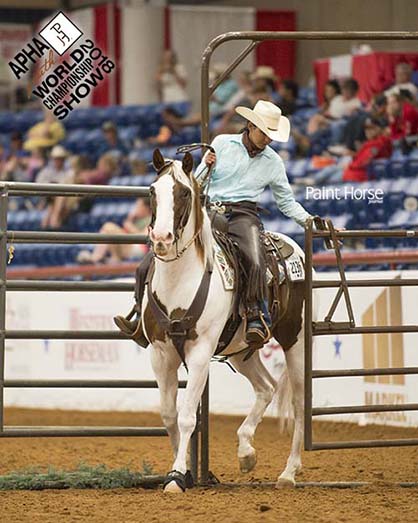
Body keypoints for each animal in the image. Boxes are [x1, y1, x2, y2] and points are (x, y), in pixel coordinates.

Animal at [141, 149, 316, 494]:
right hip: (241, 350)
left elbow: (186, 416)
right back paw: (246, 452)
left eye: (184, 193)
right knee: (266, 387)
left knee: (298, 402)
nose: (162, 238)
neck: (180, 281)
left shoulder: (200, 353)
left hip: (296, 339)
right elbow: (168, 415)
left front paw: (177, 476)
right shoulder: (160, 353)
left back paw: (289, 472)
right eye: (153, 191)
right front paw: (183, 470)